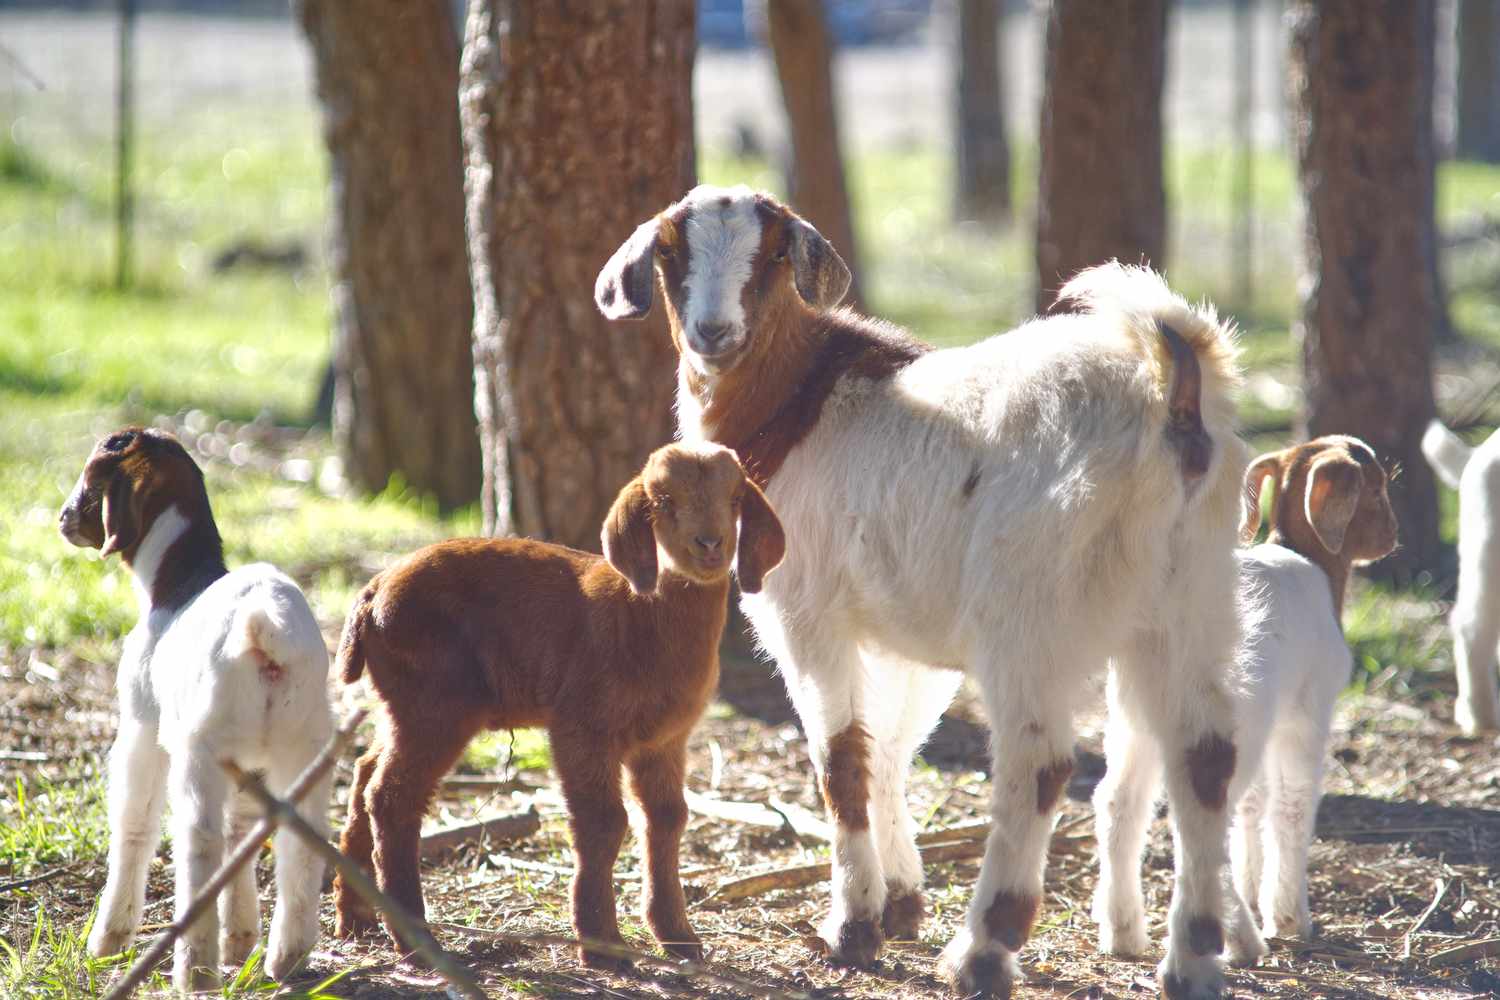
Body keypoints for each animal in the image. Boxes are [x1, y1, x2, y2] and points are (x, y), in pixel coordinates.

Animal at [60, 428, 333, 995]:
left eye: (93, 476)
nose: (63, 517)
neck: (175, 585)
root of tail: (264, 626)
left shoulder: (141, 725)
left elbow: (134, 821)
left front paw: (107, 940)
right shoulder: (252, 766)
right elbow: (244, 830)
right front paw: (241, 938)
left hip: (199, 749)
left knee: (199, 838)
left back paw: (196, 969)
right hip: (304, 746)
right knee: (296, 838)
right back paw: (286, 958)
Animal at [331, 440, 786, 965]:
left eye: (735, 500)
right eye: (664, 503)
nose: (710, 545)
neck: (640, 615)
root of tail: (372, 592)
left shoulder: (664, 739)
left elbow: (667, 818)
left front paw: (678, 937)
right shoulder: (581, 724)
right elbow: (604, 821)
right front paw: (603, 945)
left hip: (400, 703)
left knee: (365, 772)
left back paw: (355, 917)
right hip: (435, 702)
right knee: (392, 796)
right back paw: (416, 940)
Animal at [1092, 434, 1392, 965]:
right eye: (1376, 490)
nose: (1393, 538)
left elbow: (1254, 805)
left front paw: (1255, 890)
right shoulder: (1306, 711)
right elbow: (1291, 803)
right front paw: (1289, 916)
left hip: (1134, 718)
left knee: (1120, 802)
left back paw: (1124, 931)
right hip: (1223, 717)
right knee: (1202, 814)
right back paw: (1238, 940)